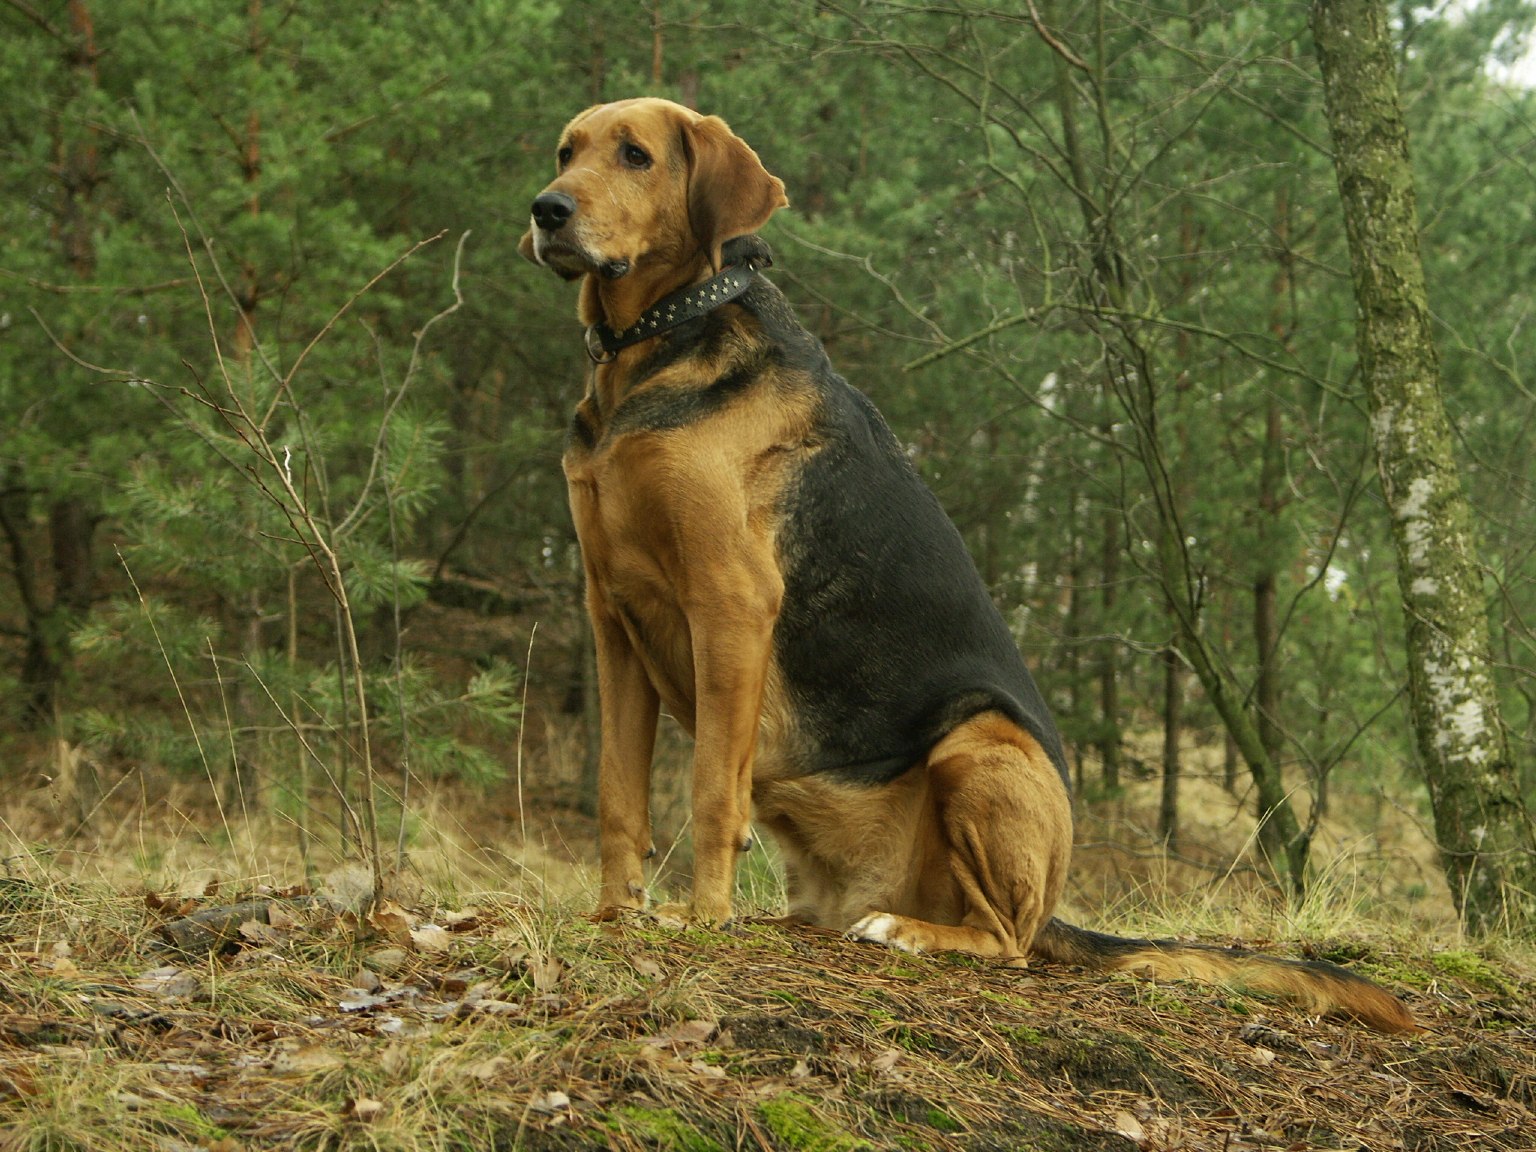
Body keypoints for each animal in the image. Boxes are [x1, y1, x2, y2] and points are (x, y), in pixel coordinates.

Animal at [522, 101, 1419, 1038]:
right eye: (566, 152)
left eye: (637, 156)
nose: (546, 209)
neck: (648, 351)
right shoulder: (612, 616)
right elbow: (617, 793)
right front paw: (614, 913)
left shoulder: (729, 605)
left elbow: (707, 791)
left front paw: (699, 920)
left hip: (980, 745)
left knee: (1006, 940)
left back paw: (909, 931)